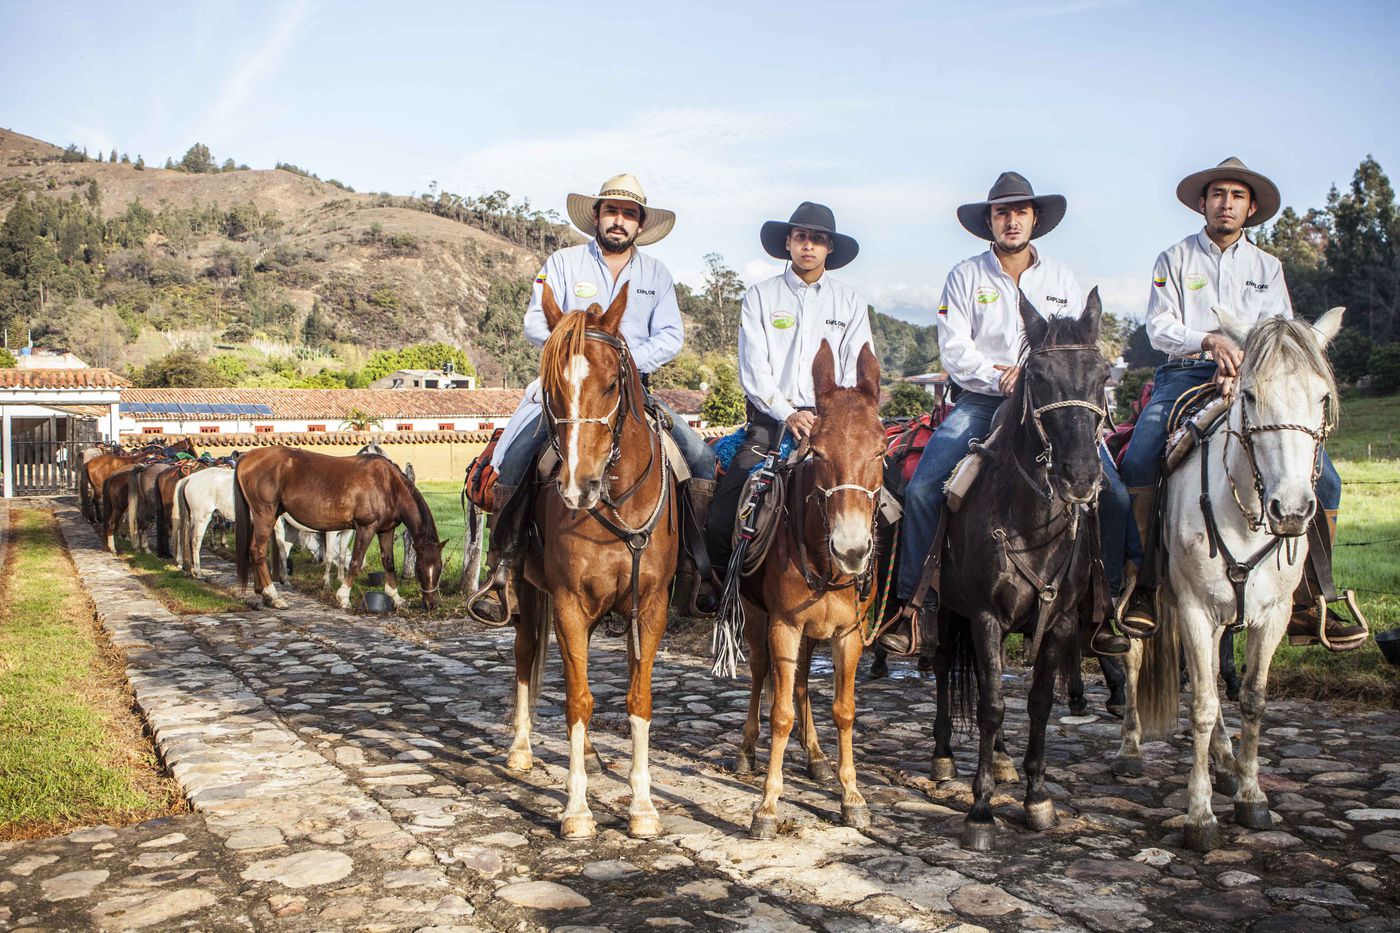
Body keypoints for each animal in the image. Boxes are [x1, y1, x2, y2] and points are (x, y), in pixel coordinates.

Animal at [233, 445, 442, 607]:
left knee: (255, 550)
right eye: (419, 569)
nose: (430, 604)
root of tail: (247, 456)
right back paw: (273, 596)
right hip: (265, 515)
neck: (388, 484)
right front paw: (343, 597)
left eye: (439, 568)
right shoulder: (366, 528)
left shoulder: (385, 530)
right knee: (257, 551)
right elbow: (355, 562)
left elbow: (388, 562)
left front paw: (395, 597)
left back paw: (262, 592)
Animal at [506, 281, 680, 834]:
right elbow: (578, 700)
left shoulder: (650, 607)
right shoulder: (567, 603)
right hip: (527, 591)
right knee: (525, 655)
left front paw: (642, 806)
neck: (617, 501)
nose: (577, 486)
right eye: (552, 390)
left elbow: (638, 698)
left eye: (611, 385)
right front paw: (577, 809)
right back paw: (521, 749)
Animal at [739, 340, 879, 834]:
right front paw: (767, 804)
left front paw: (851, 794)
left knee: (798, 680)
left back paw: (816, 755)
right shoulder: (782, 625)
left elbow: (844, 709)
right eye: (816, 452)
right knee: (762, 674)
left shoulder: (848, 634)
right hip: (756, 617)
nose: (852, 549)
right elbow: (780, 713)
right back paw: (747, 749)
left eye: (883, 450)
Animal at [929, 291, 1114, 851]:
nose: (1081, 476)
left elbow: (1037, 703)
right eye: (1038, 377)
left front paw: (1036, 797)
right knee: (943, 667)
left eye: (1102, 375)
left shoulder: (1060, 622)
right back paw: (943, 756)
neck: (1029, 522)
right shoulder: (984, 616)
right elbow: (990, 705)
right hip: (945, 612)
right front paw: (981, 809)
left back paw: (1005, 760)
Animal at [1114, 306, 1344, 851]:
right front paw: (1199, 817)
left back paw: (1223, 759)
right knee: (1134, 660)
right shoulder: (1196, 609)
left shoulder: (1270, 617)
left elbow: (1251, 700)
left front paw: (1251, 795)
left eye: (1322, 397)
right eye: (1250, 395)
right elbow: (1199, 704)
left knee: (1216, 679)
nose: (1292, 510)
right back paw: (1131, 748)